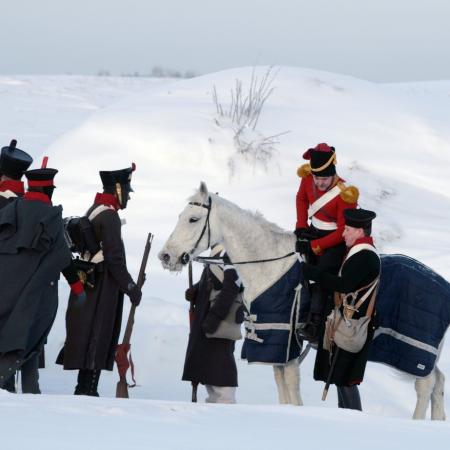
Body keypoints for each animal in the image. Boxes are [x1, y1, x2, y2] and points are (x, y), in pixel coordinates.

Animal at [158, 181, 446, 420]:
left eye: (193, 219)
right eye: (180, 216)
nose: (165, 256)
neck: (270, 265)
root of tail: (443, 283)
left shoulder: (287, 343)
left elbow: (292, 393)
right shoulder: (275, 346)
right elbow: (283, 391)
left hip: (414, 352)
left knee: (426, 385)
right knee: (438, 382)